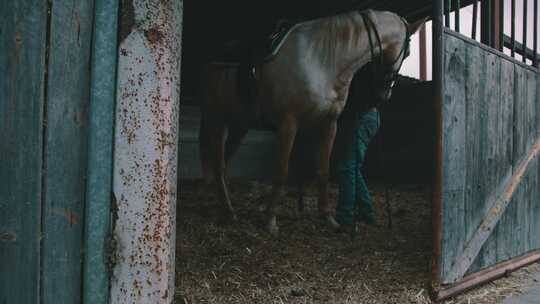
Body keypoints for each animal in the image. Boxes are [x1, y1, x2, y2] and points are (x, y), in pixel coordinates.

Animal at [198, 8, 426, 234]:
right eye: (407, 53)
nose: (384, 94)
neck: (321, 61)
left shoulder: (328, 124)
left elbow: (323, 172)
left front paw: (328, 218)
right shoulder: (288, 123)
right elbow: (281, 171)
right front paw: (270, 220)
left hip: (240, 124)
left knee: (225, 163)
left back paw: (228, 208)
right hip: (217, 119)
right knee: (218, 165)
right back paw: (228, 212)